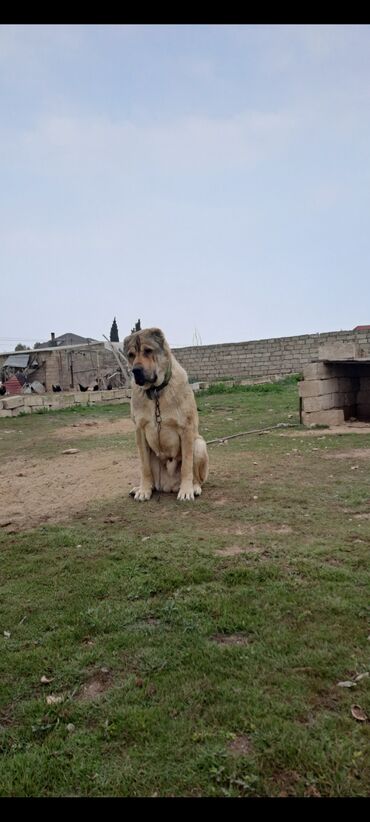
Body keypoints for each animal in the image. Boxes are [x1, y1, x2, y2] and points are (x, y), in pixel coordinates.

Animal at [124, 328, 210, 502]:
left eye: (148, 350)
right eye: (131, 354)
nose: (136, 370)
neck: (156, 392)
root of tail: (168, 487)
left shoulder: (186, 430)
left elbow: (186, 466)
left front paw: (186, 491)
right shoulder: (140, 431)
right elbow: (144, 467)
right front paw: (143, 490)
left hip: (199, 444)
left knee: (197, 476)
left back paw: (194, 487)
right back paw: (142, 487)